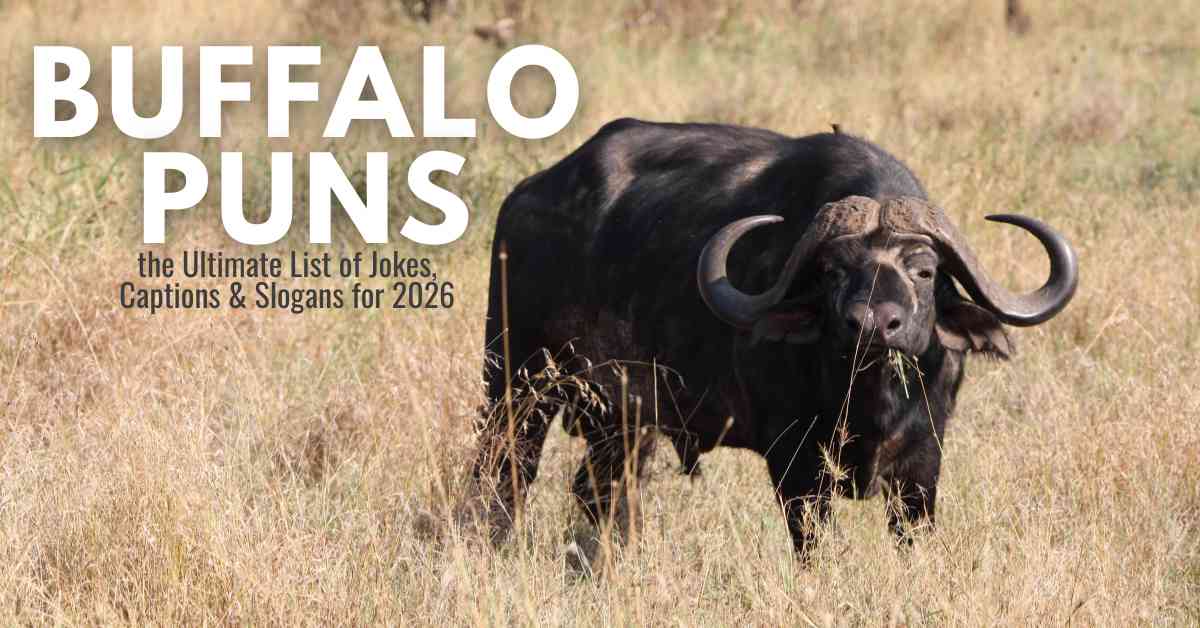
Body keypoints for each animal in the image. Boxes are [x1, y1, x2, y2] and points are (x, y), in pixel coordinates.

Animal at [468, 118, 1078, 558]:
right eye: (831, 271)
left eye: (924, 271)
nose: (872, 324)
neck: (867, 397)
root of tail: (526, 199)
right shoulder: (794, 462)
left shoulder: (923, 460)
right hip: (516, 380)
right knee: (504, 472)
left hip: (618, 418)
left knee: (603, 493)